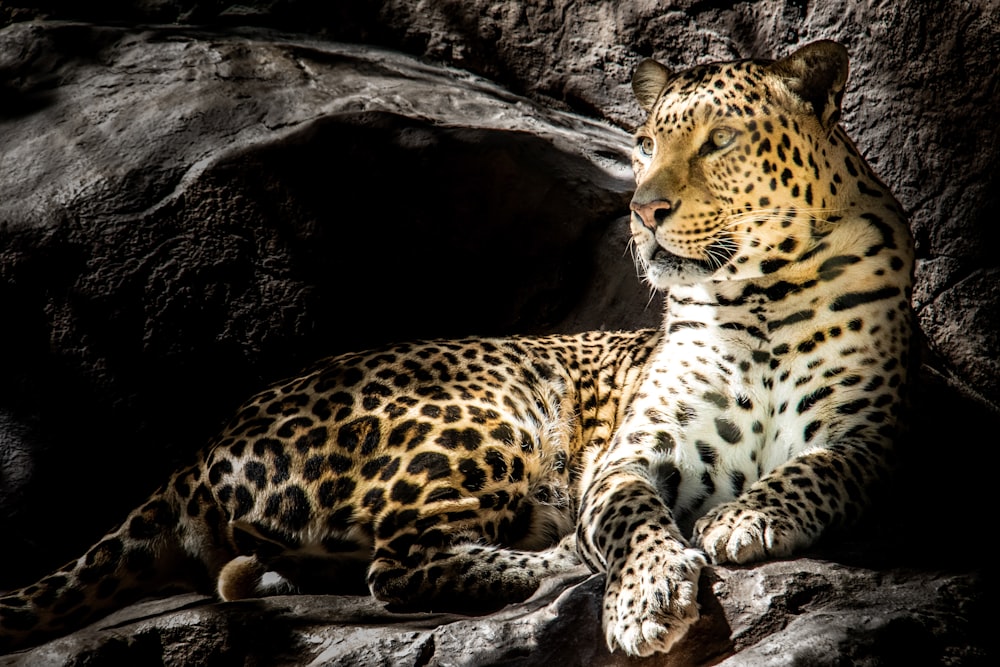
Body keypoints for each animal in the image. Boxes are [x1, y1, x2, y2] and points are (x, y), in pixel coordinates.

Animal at [0, 39, 912, 660]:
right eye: (646, 144)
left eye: (720, 141)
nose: (643, 209)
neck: (760, 295)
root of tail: (199, 447)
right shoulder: (630, 455)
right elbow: (628, 515)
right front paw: (646, 596)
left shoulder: (873, 438)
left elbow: (819, 467)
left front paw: (746, 516)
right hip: (487, 416)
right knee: (398, 567)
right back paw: (549, 562)